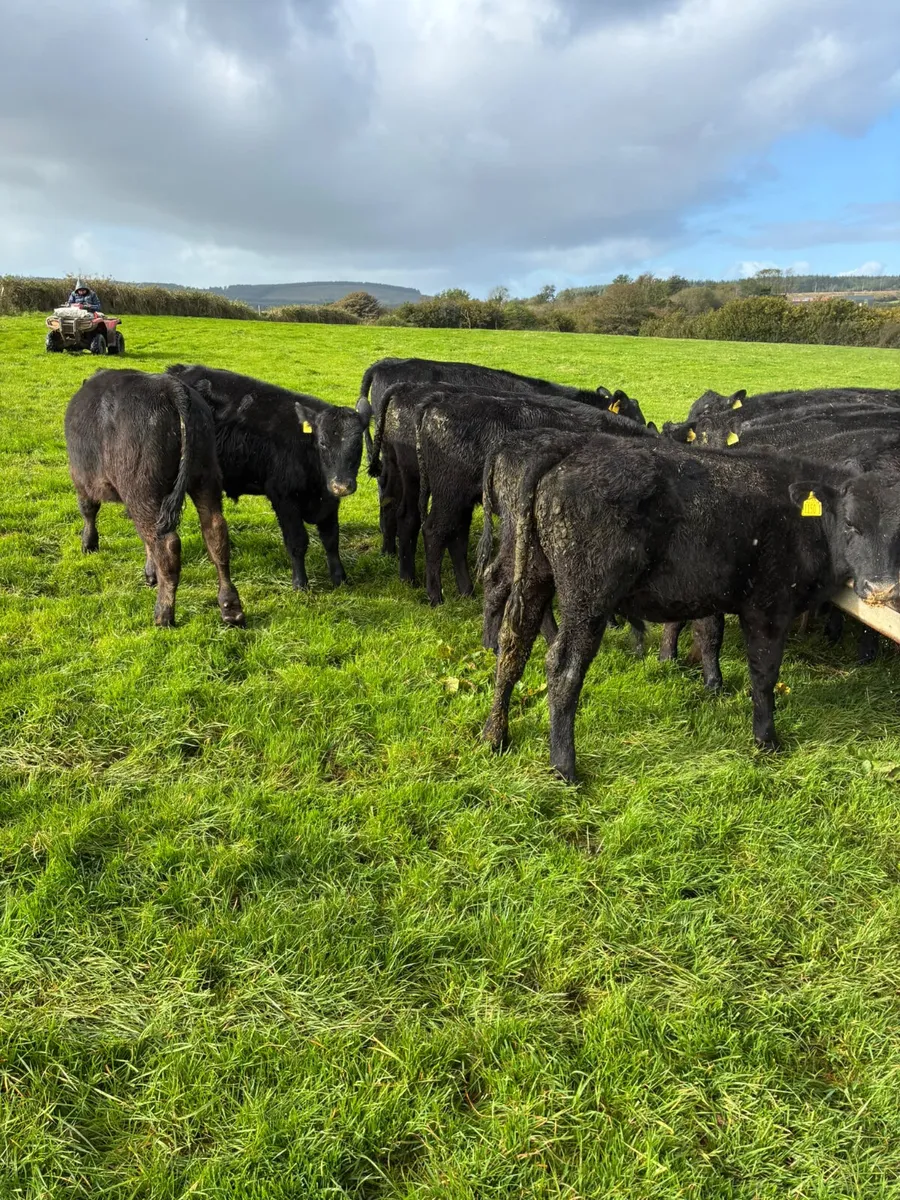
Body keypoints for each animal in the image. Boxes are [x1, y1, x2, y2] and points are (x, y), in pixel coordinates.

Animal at [64, 369, 245, 628]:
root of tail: (170, 387)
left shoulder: (82, 478)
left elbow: (88, 510)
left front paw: (89, 544)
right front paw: (150, 573)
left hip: (143, 491)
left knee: (167, 544)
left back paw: (163, 614)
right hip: (206, 477)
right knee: (215, 533)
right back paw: (231, 608)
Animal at [167, 365, 365, 590]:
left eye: (358, 444)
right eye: (322, 443)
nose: (342, 485)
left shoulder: (330, 501)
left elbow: (331, 539)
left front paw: (340, 578)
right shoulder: (283, 497)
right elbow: (297, 541)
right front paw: (300, 583)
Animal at [479, 430, 900, 781]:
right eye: (850, 524)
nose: (882, 589)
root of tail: (567, 448)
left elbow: (709, 633)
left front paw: (713, 686)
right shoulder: (768, 605)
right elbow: (764, 674)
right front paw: (766, 740)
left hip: (533, 573)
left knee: (514, 646)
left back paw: (493, 735)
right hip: (588, 595)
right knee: (562, 666)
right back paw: (564, 767)